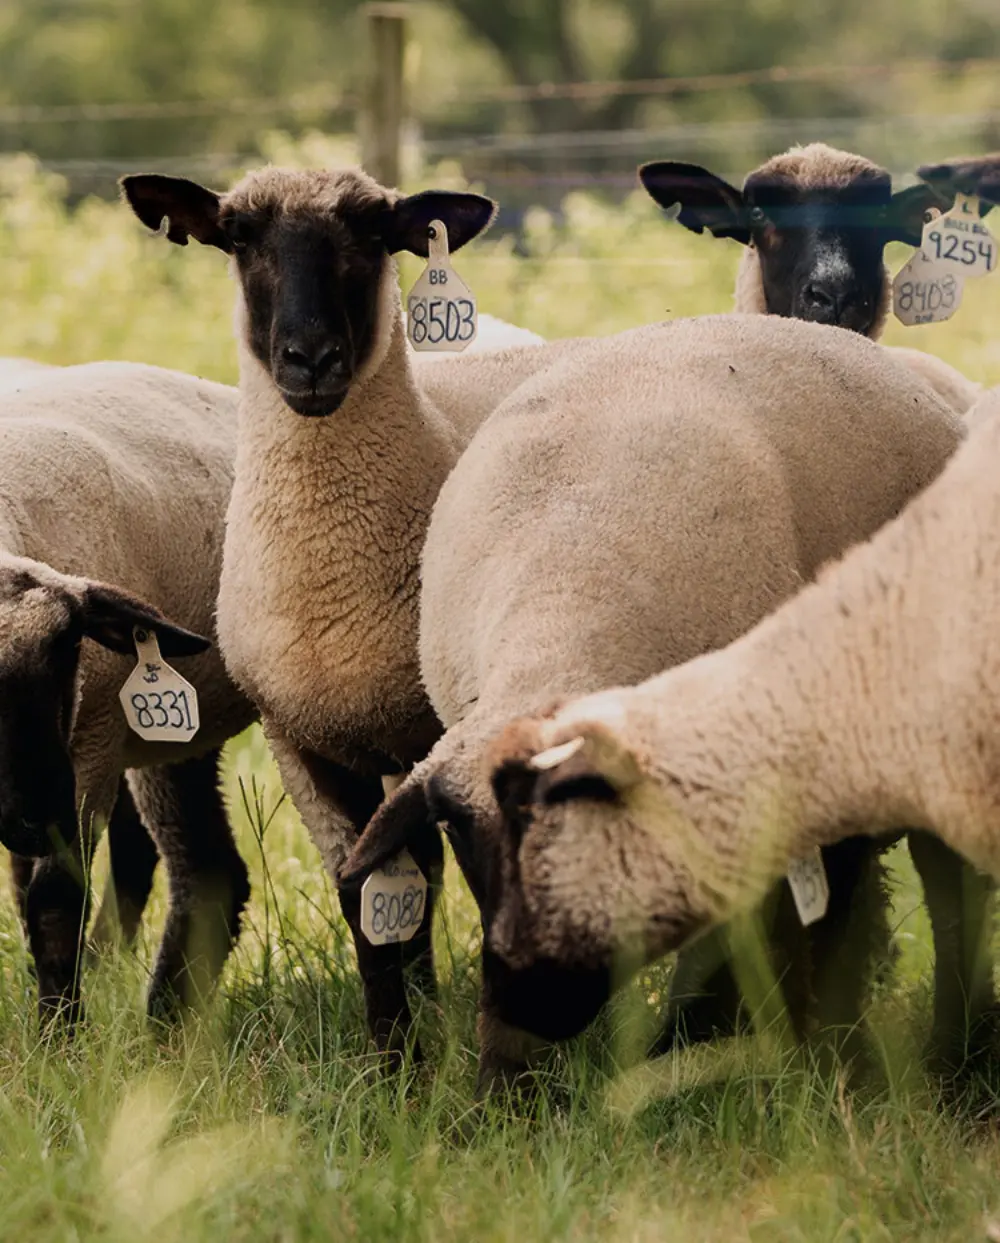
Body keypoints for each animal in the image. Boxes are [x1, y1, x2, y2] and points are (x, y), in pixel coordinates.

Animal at [0, 360, 254, 1024]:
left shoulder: (90, 741)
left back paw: (162, 1024)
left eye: (68, 649)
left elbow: (56, 897)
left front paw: (60, 1033)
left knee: (204, 870)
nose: (36, 819)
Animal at [121, 164, 505, 1063]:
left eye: (374, 233)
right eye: (238, 235)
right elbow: (368, 892)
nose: (311, 358)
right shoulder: (308, 738)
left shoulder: (438, 732)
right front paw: (396, 1061)